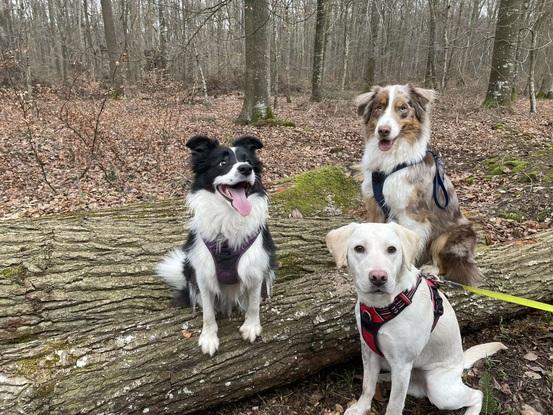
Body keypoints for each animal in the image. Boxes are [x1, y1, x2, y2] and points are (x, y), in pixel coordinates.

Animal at [326, 224, 506, 415]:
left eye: (392, 249)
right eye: (359, 248)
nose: (378, 277)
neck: (383, 306)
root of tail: (460, 363)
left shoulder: (402, 364)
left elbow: (394, 405)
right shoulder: (369, 351)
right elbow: (367, 385)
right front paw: (361, 408)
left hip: (439, 389)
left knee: (477, 394)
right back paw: (383, 378)